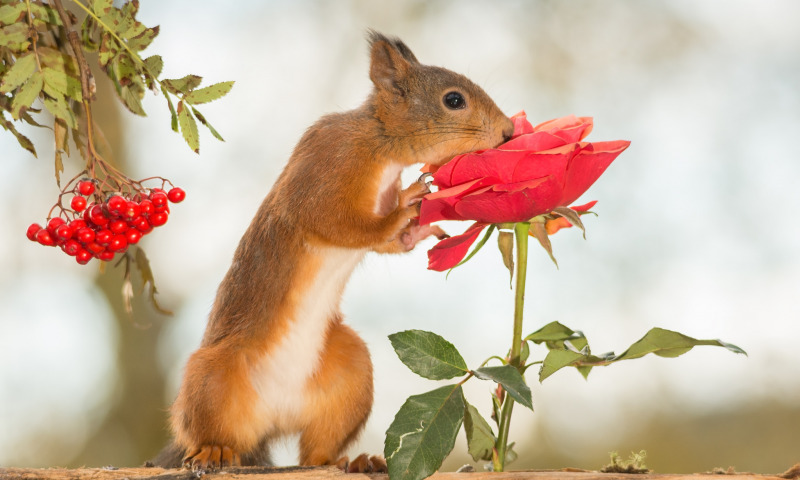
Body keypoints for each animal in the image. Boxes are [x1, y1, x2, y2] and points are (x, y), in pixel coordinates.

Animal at [152, 31, 514, 472]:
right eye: (454, 100)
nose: (508, 132)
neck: (380, 144)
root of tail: (274, 417)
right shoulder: (326, 165)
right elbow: (336, 221)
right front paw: (406, 207)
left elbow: (385, 243)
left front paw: (418, 223)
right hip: (212, 377)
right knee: (209, 431)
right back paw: (213, 450)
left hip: (351, 376)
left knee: (317, 451)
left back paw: (354, 461)